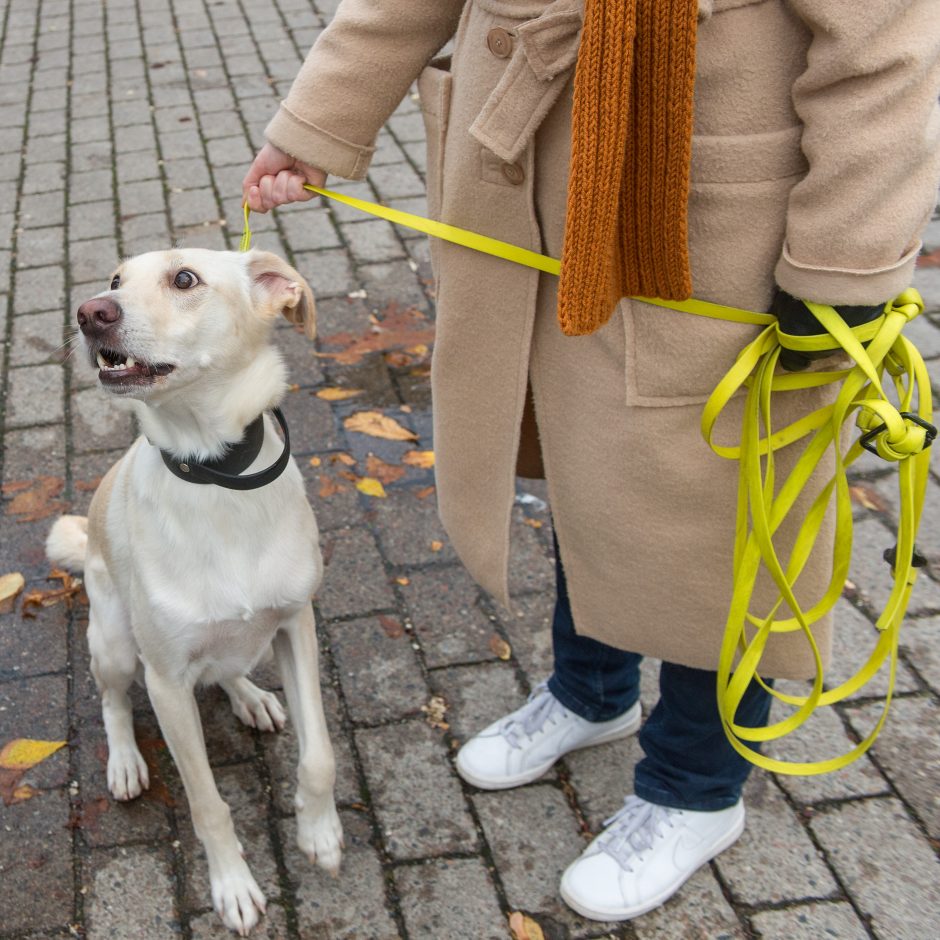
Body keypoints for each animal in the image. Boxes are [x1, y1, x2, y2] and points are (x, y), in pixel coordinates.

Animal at [46, 246, 342, 936]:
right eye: (116, 280)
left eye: (185, 279)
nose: (89, 312)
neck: (216, 474)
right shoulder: (166, 683)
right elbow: (209, 805)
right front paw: (232, 885)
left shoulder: (297, 624)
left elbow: (319, 755)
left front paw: (319, 832)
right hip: (114, 641)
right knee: (112, 701)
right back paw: (126, 761)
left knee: (228, 667)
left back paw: (251, 698)